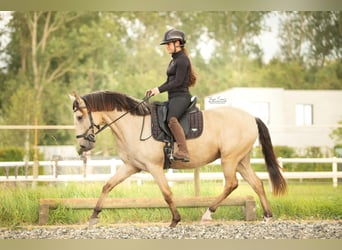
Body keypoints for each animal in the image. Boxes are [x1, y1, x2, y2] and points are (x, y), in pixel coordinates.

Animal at [71, 90, 288, 227]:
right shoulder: (131, 166)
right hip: (241, 160)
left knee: (231, 184)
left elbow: (167, 193)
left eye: (80, 117)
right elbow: (107, 185)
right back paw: (267, 216)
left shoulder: (154, 167)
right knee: (257, 183)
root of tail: (251, 117)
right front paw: (94, 216)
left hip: (229, 159)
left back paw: (207, 213)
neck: (133, 124)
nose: (83, 146)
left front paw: (175, 219)